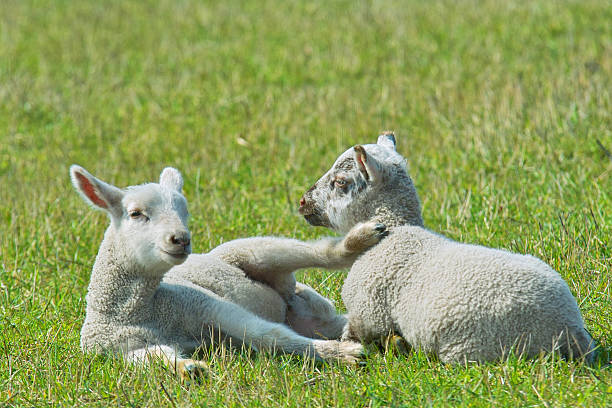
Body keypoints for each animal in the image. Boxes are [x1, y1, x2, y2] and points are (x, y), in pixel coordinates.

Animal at [73, 164, 388, 378]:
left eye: (185, 212)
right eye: (135, 213)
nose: (181, 239)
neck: (136, 311)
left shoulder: (204, 304)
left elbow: (268, 335)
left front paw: (342, 354)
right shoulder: (118, 351)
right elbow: (154, 358)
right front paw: (189, 368)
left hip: (251, 251)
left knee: (318, 254)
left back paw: (361, 238)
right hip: (309, 316)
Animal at [298, 133, 596, 364]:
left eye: (340, 181)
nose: (302, 201)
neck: (395, 232)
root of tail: (570, 331)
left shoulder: (367, 313)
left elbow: (355, 335)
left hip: (473, 346)